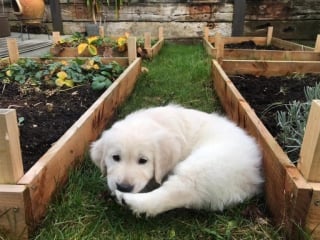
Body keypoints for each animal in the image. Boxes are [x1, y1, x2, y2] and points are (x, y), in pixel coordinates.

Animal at [89, 104, 262, 217]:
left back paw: (128, 200)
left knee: (173, 194)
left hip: (204, 166)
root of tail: (253, 177)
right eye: (115, 157)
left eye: (143, 160)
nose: (123, 187)